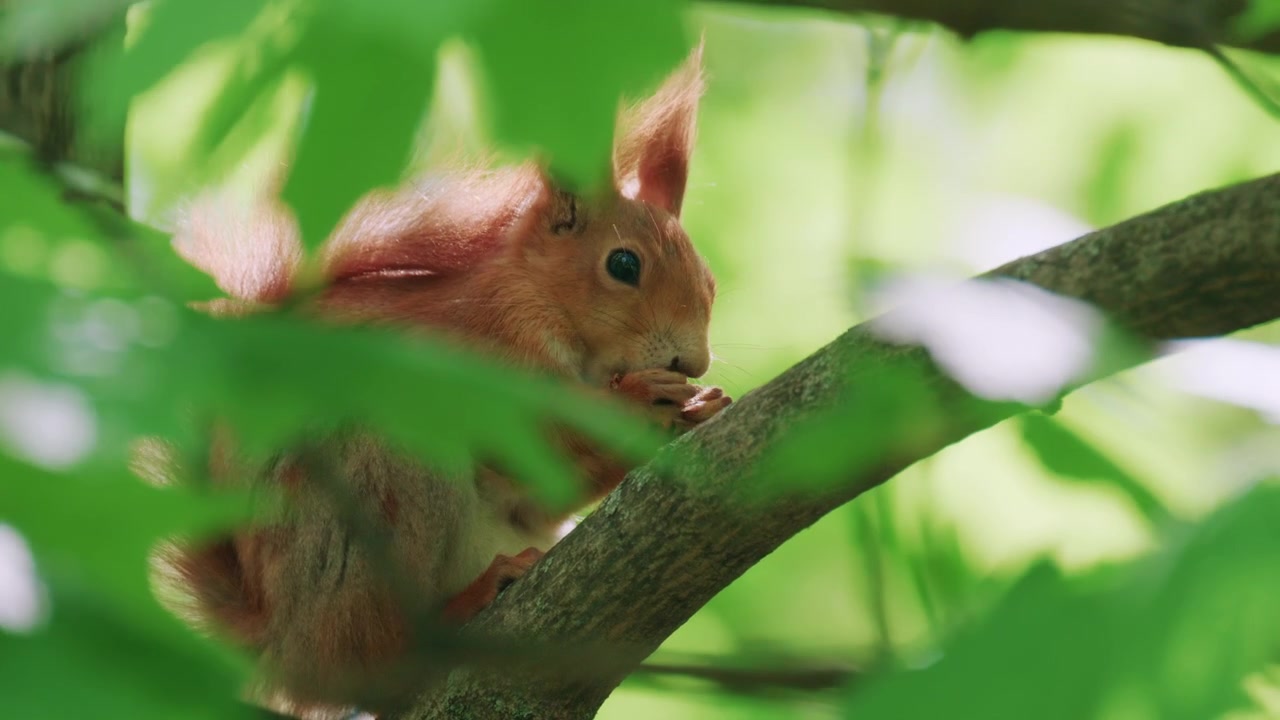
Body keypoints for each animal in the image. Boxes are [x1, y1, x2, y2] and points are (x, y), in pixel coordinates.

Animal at [154, 44, 731, 718]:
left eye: (710, 282)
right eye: (623, 264)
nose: (692, 363)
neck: (542, 307)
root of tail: (282, 648)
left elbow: (546, 487)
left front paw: (700, 407)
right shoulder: (475, 353)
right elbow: (533, 436)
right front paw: (642, 401)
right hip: (377, 491)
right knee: (377, 655)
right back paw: (462, 606)